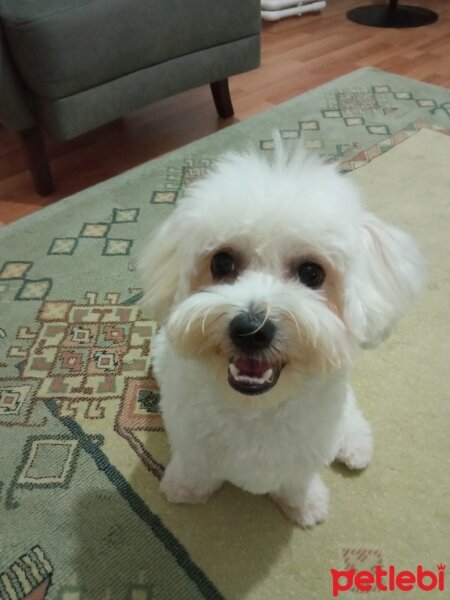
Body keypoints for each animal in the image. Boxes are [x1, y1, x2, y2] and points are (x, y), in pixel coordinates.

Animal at [139, 138, 424, 528]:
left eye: (312, 273)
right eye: (222, 262)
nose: (250, 330)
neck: (256, 409)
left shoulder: (304, 453)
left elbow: (296, 480)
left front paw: (304, 505)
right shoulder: (192, 442)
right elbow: (196, 467)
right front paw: (185, 489)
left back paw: (355, 445)